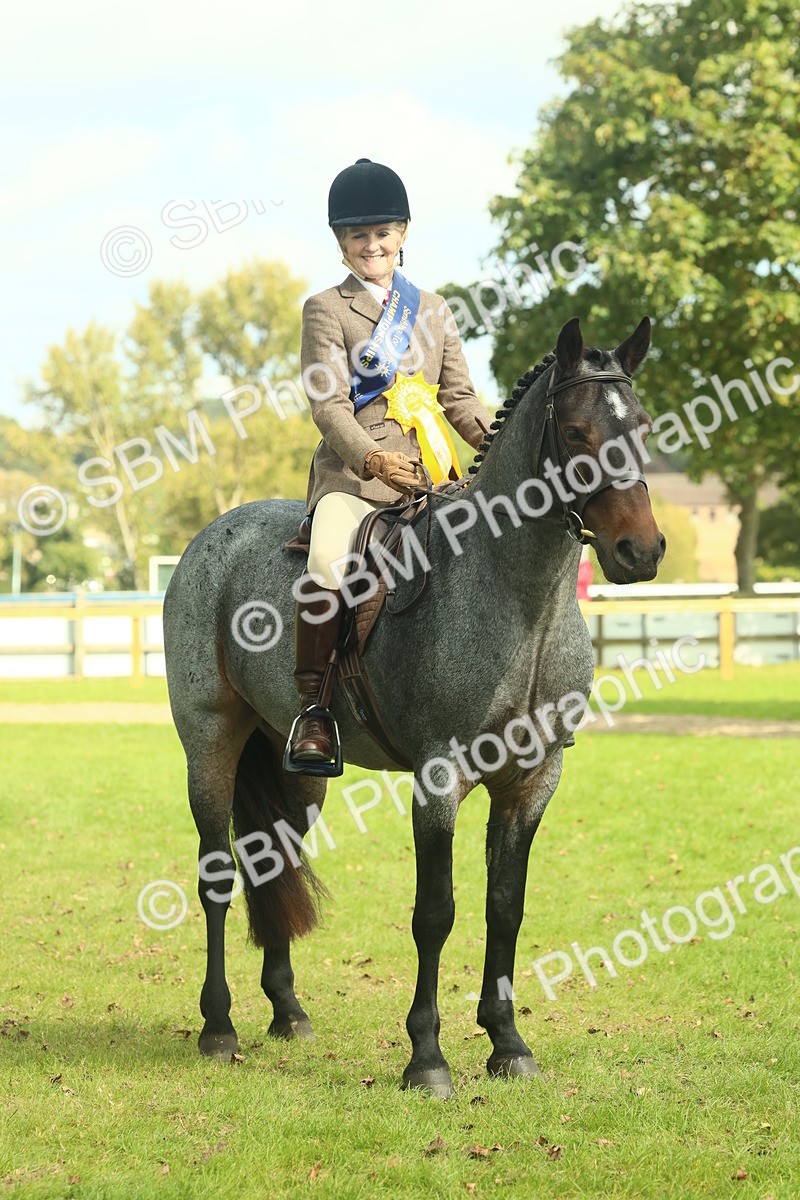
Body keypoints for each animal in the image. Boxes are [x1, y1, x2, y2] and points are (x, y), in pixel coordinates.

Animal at [162, 315, 665, 1098]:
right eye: (577, 430)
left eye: (640, 426)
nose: (639, 551)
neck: (520, 600)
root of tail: (213, 536)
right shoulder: (439, 779)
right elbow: (436, 913)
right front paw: (427, 1057)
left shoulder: (533, 781)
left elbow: (505, 905)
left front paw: (507, 1042)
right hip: (210, 743)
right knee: (217, 875)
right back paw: (218, 1027)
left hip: (298, 767)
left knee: (272, 859)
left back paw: (288, 1011)